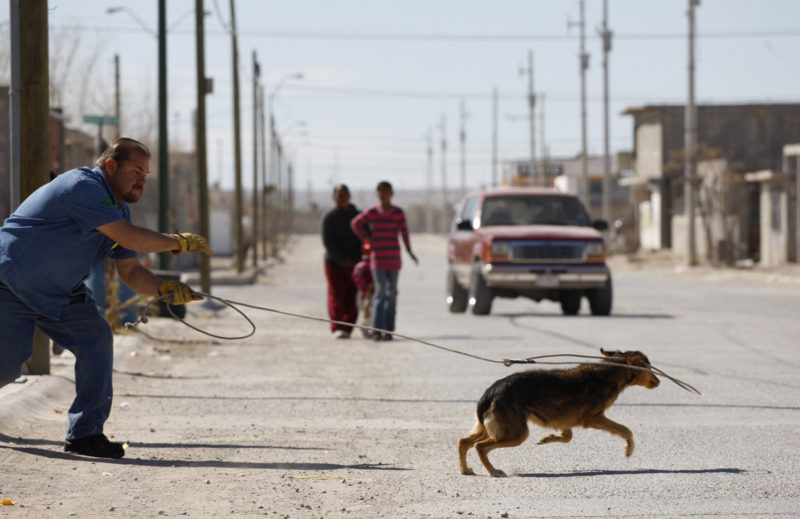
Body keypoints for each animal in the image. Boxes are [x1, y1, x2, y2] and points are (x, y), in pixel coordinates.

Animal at [460, 352, 660, 478]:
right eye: (650, 367)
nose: (659, 381)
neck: (611, 372)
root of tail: (491, 392)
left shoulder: (566, 421)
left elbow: (567, 437)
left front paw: (548, 438)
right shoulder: (594, 418)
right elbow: (625, 430)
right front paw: (629, 449)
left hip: (493, 429)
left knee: (463, 442)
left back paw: (465, 469)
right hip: (516, 433)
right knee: (480, 447)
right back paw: (493, 472)